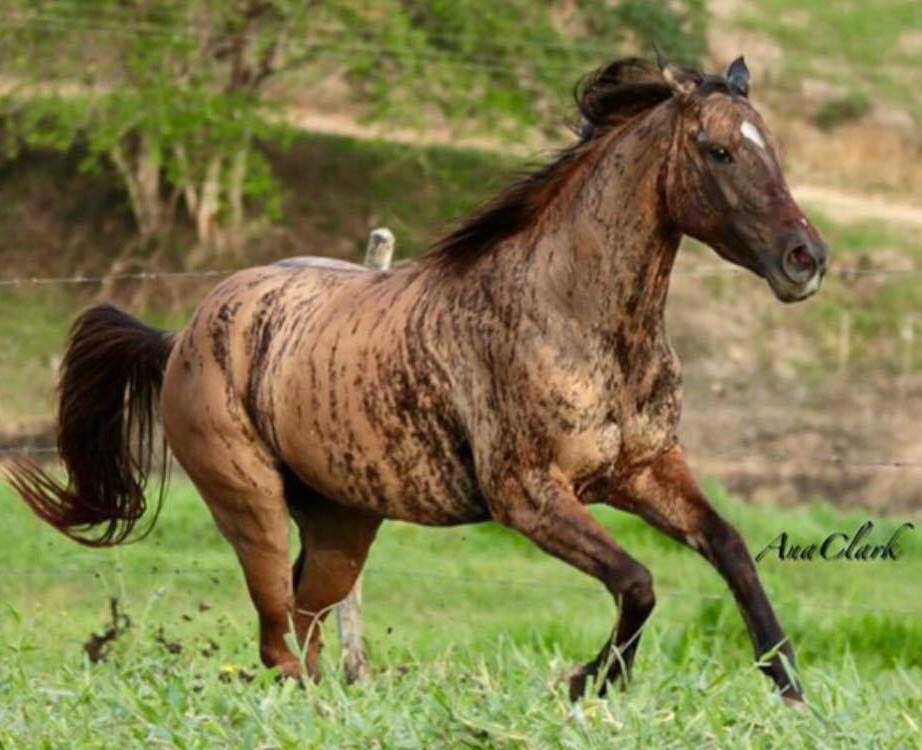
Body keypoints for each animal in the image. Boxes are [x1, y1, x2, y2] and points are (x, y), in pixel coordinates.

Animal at [7, 55, 828, 708]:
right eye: (719, 151)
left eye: (774, 149)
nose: (806, 260)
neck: (573, 313)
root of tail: (181, 336)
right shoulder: (529, 495)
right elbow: (638, 582)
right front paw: (585, 682)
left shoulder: (645, 469)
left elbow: (729, 549)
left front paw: (790, 689)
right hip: (251, 504)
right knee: (277, 636)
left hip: (341, 521)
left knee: (305, 621)